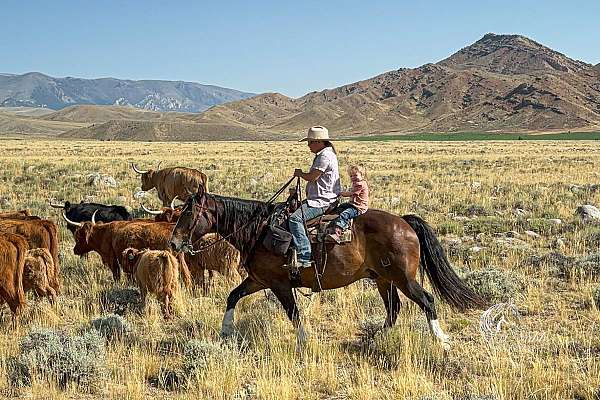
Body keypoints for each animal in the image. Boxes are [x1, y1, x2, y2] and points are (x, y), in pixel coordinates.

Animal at [63, 214, 191, 286]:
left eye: (79, 236)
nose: (75, 250)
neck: (104, 233)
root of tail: (171, 227)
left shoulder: (112, 260)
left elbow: (117, 276)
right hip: (180, 260)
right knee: (186, 276)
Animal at [168, 186, 482, 348]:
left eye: (189, 213)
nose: (174, 243)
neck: (259, 231)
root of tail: (404, 222)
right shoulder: (259, 280)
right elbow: (232, 296)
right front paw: (226, 331)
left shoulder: (280, 284)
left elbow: (293, 314)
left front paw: (303, 343)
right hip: (382, 278)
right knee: (393, 308)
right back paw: (376, 338)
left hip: (403, 278)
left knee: (426, 300)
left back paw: (441, 339)